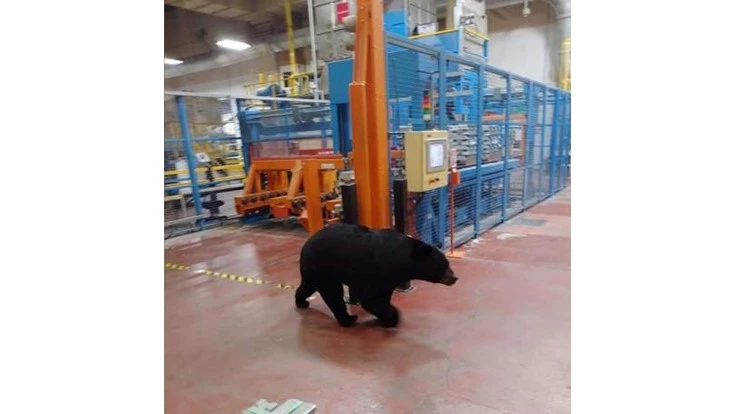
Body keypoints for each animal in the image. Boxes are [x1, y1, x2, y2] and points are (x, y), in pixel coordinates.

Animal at [295, 223, 458, 327]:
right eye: (444, 265)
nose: (454, 278)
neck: (403, 260)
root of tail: (307, 242)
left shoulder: (390, 278)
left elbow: (383, 296)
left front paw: (385, 318)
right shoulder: (379, 270)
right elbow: (371, 299)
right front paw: (392, 318)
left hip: (315, 270)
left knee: (308, 285)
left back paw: (301, 302)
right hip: (324, 267)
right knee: (332, 292)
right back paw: (348, 319)